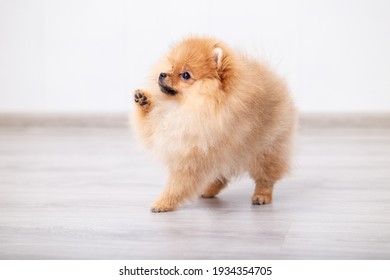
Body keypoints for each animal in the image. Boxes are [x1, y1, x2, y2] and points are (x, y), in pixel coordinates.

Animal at [133, 36, 298, 212]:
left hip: (265, 150)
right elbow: (149, 123)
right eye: (171, 66)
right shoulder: (165, 126)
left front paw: (163, 203)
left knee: (265, 176)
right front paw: (143, 99)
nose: (162, 74)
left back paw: (262, 195)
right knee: (221, 176)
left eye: (186, 75)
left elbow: (177, 184)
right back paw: (208, 190)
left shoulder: (193, 154)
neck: (183, 107)